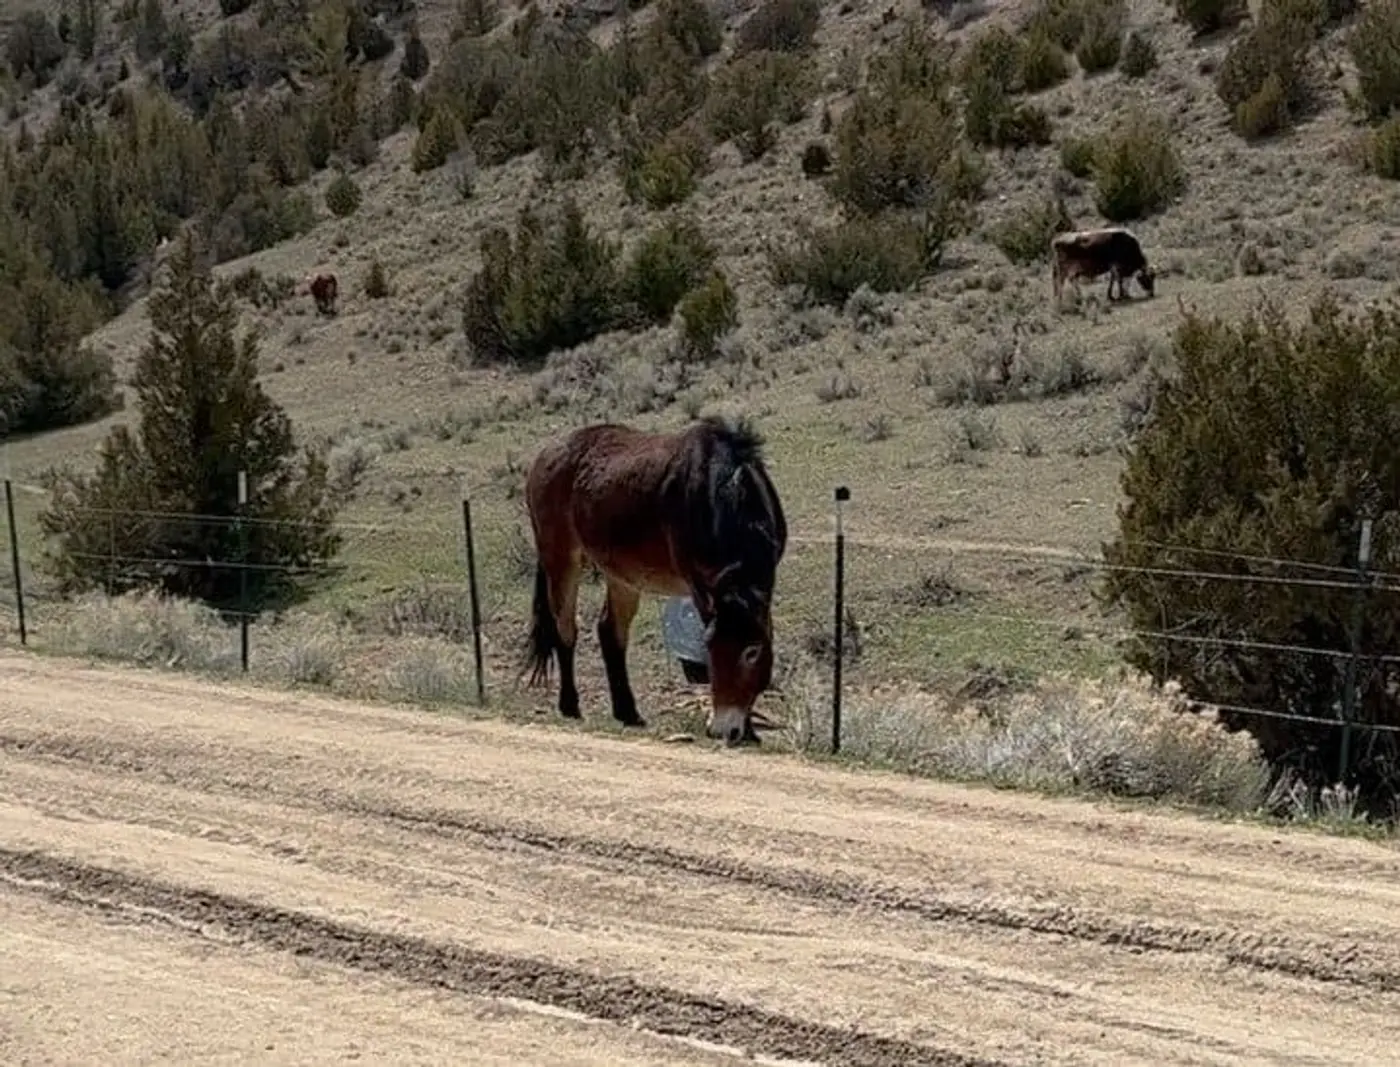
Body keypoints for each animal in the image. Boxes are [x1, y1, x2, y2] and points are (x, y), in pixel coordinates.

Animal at [521, 415, 788, 746]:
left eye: (752, 652)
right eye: (710, 648)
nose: (723, 730)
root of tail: (545, 452)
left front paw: (749, 731)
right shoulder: (699, 585)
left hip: (621, 574)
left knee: (610, 631)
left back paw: (628, 713)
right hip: (561, 559)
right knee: (566, 629)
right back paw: (570, 706)